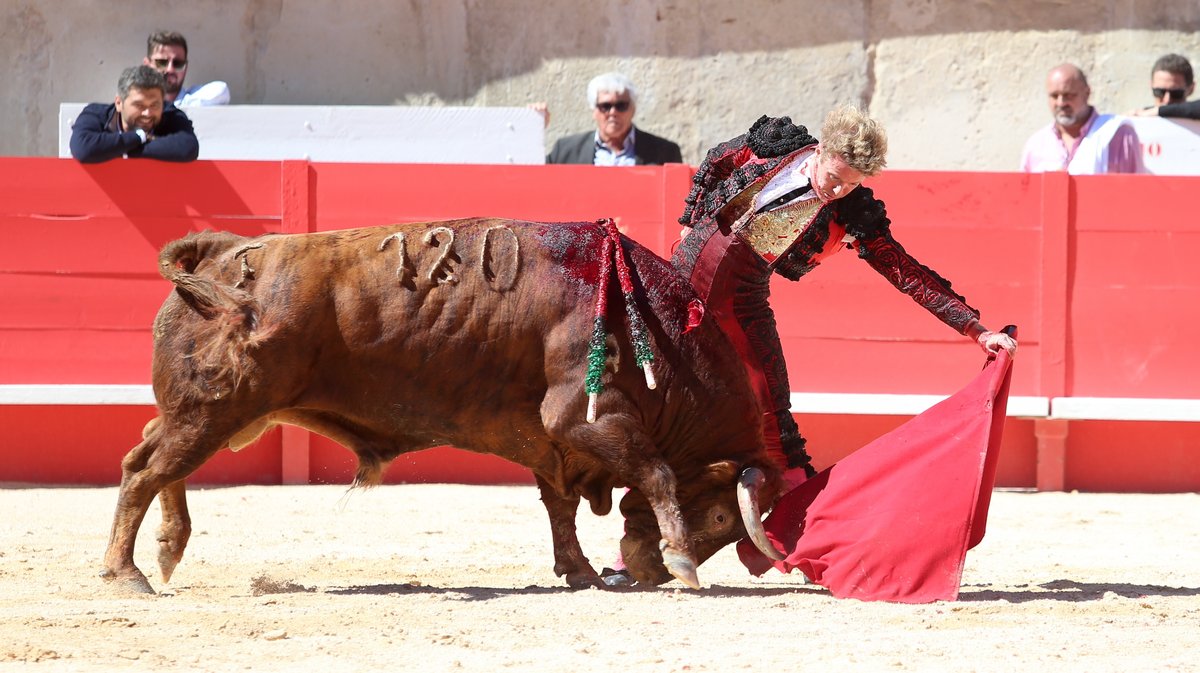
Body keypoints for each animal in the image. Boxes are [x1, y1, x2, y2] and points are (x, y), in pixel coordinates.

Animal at [103, 218, 787, 590]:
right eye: (721, 518)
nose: (649, 570)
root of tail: (223, 249)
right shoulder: (582, 419)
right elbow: (658, 472)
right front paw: (684, 562)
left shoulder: (552, 443)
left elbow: (560, 509)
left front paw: (582, 572)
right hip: (214, 411)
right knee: (144, 469)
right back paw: (126, 574)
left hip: (210, 413)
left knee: (152, 457)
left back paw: (166, 551)